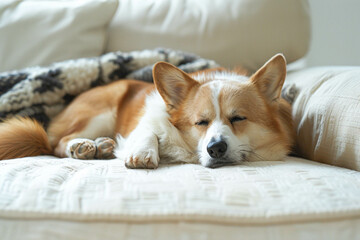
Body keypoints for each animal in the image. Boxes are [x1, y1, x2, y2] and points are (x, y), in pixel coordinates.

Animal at [0, 54, 292, 169]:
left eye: (238, 118)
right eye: (201, 122)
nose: (215, 148)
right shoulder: (147, 120)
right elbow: (149, 131)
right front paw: (143, 153)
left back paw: (102, 146)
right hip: (98, 112)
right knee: (57, 143)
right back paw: (82, 146)